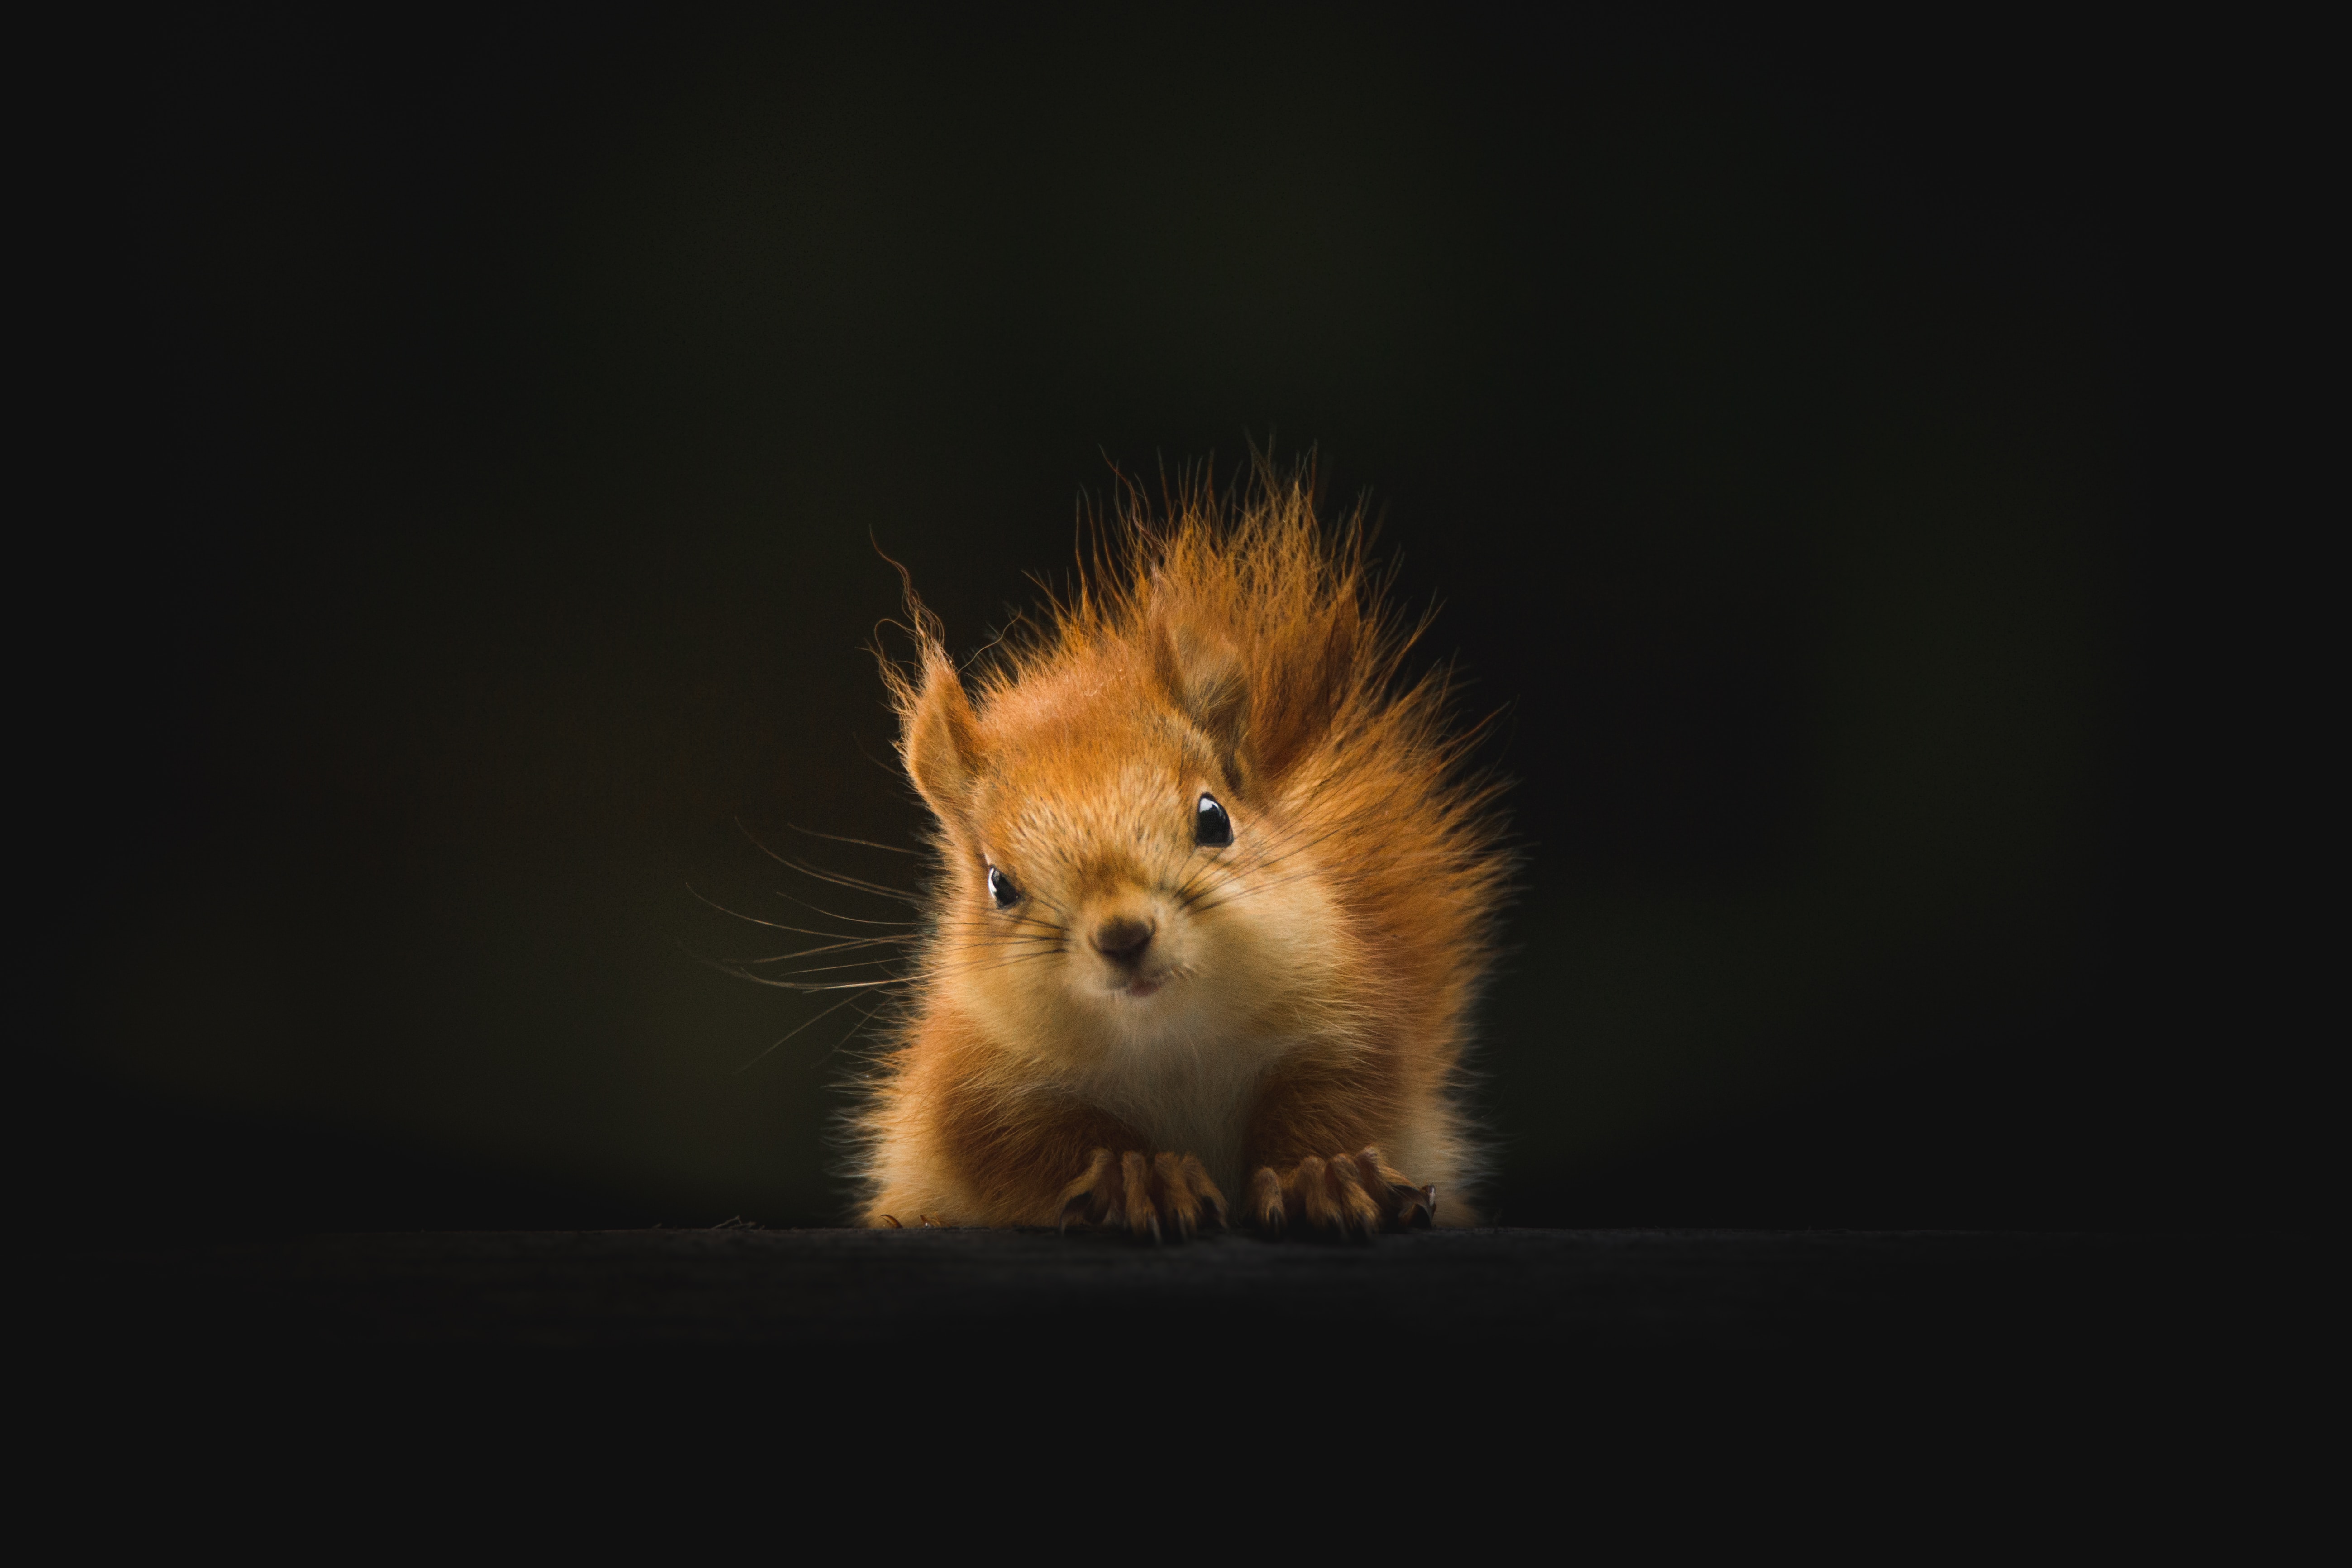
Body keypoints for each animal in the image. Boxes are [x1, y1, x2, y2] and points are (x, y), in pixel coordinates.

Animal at [851, 470, 1505, 1241]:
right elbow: (1035, 1145)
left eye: (1214, 818)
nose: (1123, 936)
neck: (1167, 1044)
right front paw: (1140, 1177)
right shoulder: (976, 1086)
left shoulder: (1345, 1021)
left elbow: (1335, 1102)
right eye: (999, 885)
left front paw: (1324, 1173)